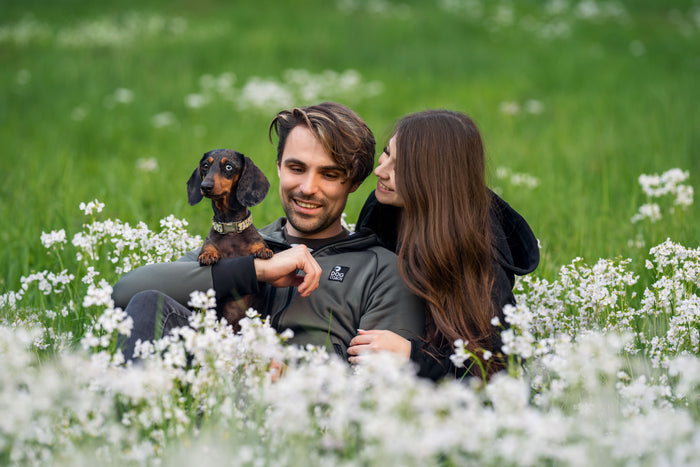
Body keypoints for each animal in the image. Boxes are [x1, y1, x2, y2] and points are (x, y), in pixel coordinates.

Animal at [186, 150, 274, 330]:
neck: (230, 228)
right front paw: (208, 255)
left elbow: (259, 246)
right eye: (205, 165)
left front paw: (263, 250)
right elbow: (207, 249)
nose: (205, 186)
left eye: (228, 167)